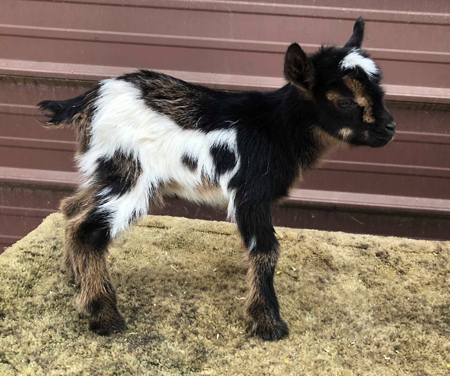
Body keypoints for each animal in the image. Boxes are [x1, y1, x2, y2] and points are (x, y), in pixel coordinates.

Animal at [37, 17, 394, 340]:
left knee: (72, 208)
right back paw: (103, 314)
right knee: (88, 231)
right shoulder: (251, 192)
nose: (389, 129)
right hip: (130, 174)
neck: (276, 128)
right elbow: (266, 250)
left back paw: (75, 277)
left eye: (380, 90)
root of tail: (90, 100)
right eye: (345, 100)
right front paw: (268, 322)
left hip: (108, 171)